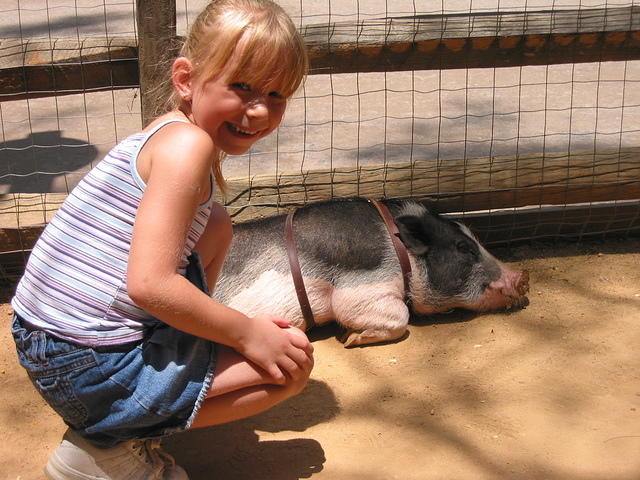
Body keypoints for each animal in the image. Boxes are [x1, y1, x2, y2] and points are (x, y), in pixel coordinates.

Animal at [215, 197, 528, 346]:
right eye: (464, 247)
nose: (522, 278)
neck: (402, 251)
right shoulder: (363, 286)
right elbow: (399, 316)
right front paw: (350, 340)